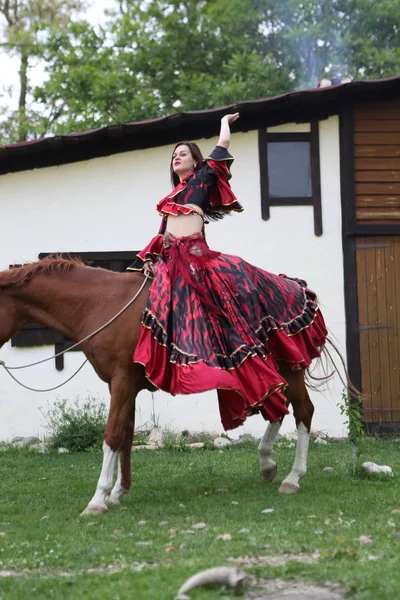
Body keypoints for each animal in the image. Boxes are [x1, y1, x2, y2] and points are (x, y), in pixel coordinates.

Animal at [0, 255, 318, 512]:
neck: (100, 304)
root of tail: (293, 285)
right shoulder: (121, 384)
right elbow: (126, 434)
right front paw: (118, 492)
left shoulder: (122, 381)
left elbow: (112, 435)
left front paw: (98, 499)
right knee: (278, 408)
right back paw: (267, 464)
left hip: (288, 368)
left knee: (303, 411)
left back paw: (293, 477)